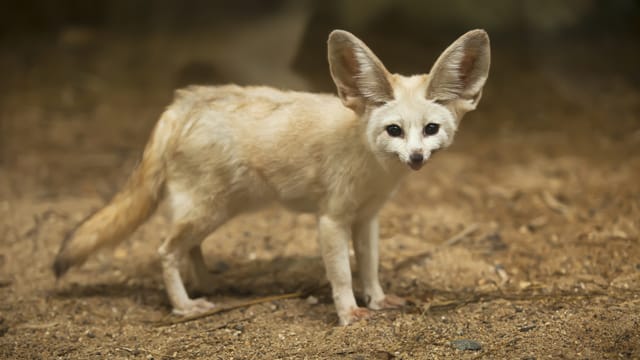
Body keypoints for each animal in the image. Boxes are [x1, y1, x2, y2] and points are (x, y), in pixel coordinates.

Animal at [55, 28, 492, 326]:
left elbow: (369, 266)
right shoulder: (331, 219)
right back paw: (184, 305)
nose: (416, 157)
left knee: (188, 248)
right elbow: (341, 274)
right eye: (394, 130)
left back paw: (208, 284)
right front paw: (349, 313)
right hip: (207, 211)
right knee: (165, 251)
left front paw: (378, 299)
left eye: (431, 129)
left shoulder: (368, 217)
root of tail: (181, 103)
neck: (374, 168)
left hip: (216, 211)